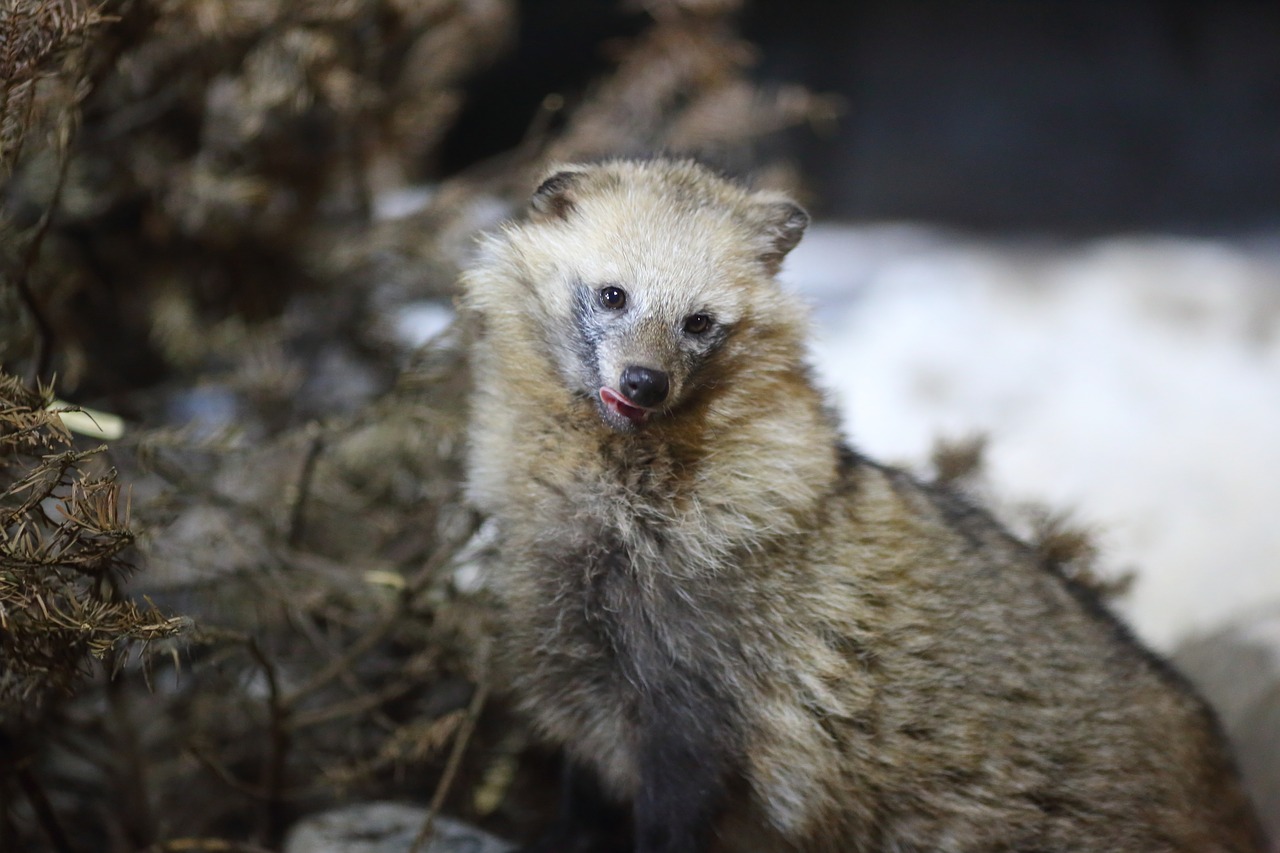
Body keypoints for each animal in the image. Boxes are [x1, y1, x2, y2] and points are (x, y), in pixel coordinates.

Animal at [458, 159, 1259, 850]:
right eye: (613, 294)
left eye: (700, 322)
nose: (645, 383)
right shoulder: (584, 698)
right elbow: (580, 811)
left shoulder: (693, 722)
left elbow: (665, 826)